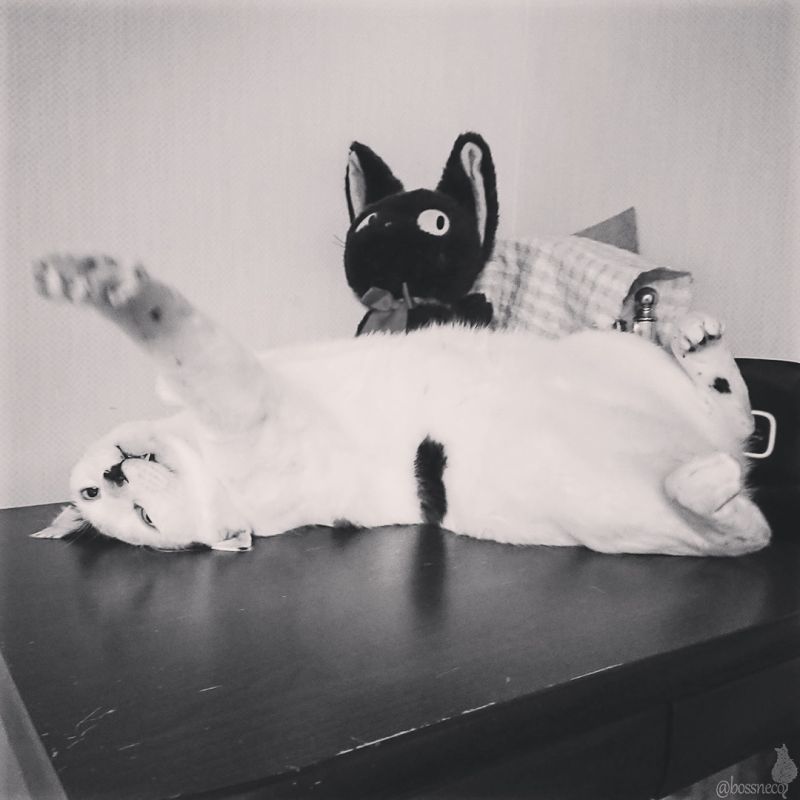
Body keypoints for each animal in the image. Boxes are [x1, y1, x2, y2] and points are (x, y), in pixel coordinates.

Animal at [31, 254, 770, 556]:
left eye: (101, 494)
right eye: (144, 518)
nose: (114, 474)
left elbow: (194, 363)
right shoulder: (249, 410)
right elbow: (189, 349)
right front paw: (123, 294)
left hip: (609, 351)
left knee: (730, 413)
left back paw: (698, 342)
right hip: (611, 509)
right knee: (738, 532)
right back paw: (713, 490)